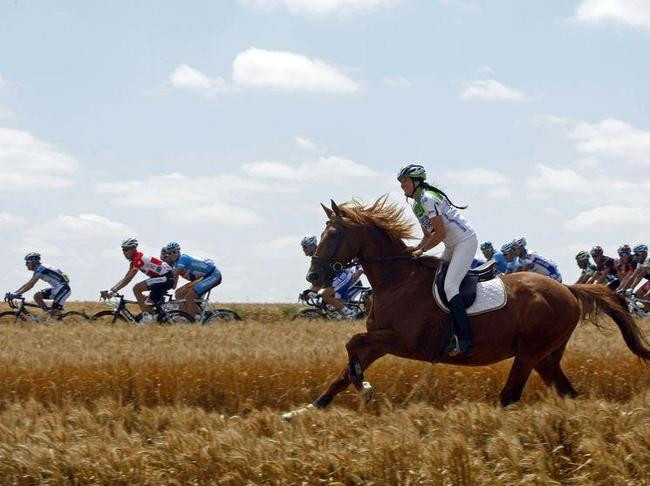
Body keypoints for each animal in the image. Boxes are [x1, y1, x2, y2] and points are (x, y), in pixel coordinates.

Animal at [280, 196, 648, 418]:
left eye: (334, 233)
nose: (314, 276)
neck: (395, 280)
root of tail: (567, 289)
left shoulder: (403, 341)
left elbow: (352, 342)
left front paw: (365, 387)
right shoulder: (379, 341)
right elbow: (342, 373)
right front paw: (304, 411)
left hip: (530, 352)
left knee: (510, 395)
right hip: (546, 357)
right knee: (566, 392)